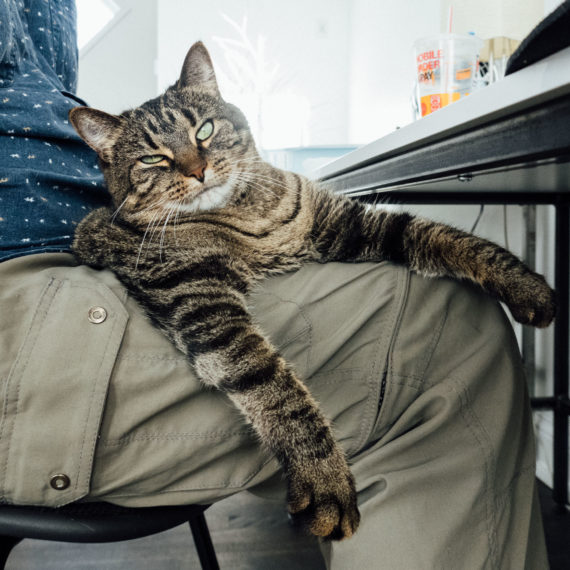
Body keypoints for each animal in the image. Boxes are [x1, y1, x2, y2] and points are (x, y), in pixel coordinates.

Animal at [69, 42, 552, 540]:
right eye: (152, 159)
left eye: (203, 130)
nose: (198, 170)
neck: (250, 217)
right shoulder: (200, 300)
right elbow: (272, 385)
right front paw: (323, 477)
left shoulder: (345, 224)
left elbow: (436, 234)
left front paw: (522, 283)